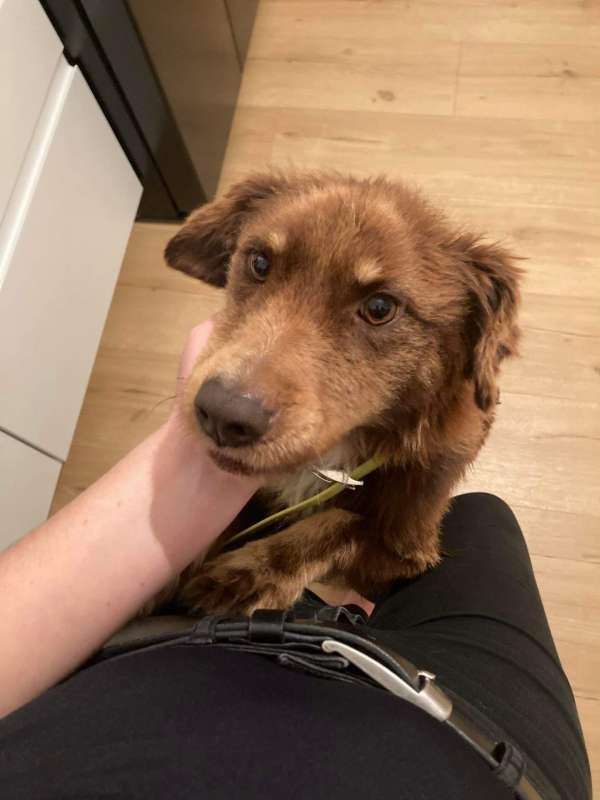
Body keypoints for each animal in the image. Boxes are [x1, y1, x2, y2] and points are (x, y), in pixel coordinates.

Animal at [151, 169, 521, 616]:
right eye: (259, 262)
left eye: (380, 308)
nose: (222, 415)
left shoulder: (406, 551)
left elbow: (340, 523)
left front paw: (249, 574)